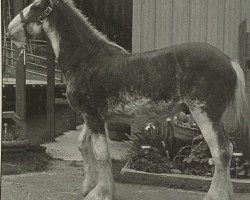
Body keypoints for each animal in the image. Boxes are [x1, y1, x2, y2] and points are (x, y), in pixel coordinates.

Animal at [7, 0, 246, 199]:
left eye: (36, 6)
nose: (9, 30)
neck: (87, 58)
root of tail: (229, 60)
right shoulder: (93, 117)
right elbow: (84, 146)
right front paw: (88, 187)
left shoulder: (93, 117)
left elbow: (102, 155)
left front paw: (100, 193)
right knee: (228, 149)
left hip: (205, 114)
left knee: (220, 152)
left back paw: (215, 195)